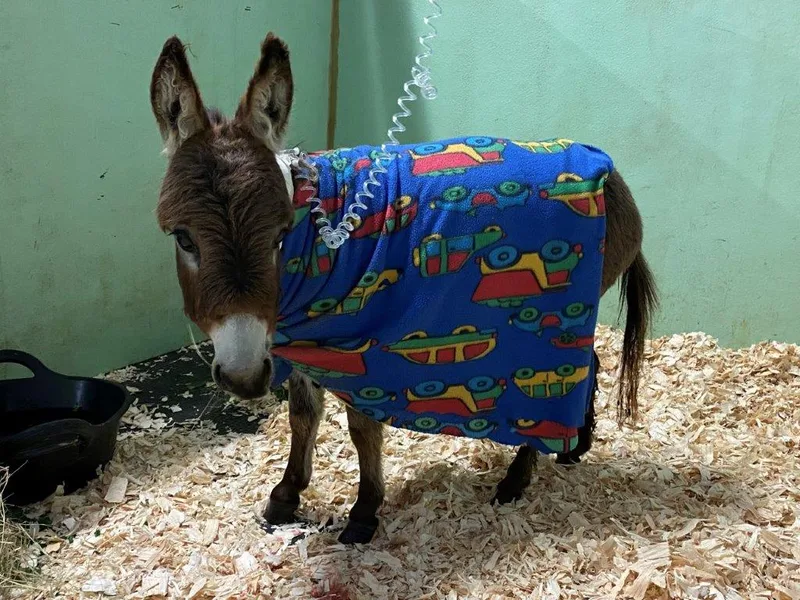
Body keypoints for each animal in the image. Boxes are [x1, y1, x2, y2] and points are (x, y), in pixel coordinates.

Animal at [149, 31, 658, 544]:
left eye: (278, 235)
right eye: (184, 238)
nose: (245, 378)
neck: (316, 242)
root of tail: (613, 175)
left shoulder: (358, 345)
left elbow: (360, 427)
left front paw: (363, 512)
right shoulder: (294, 341)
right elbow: (303, 415)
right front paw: (286, 496)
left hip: (560, 310)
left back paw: (516, 480)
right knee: (591, 363)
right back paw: (575, 447)